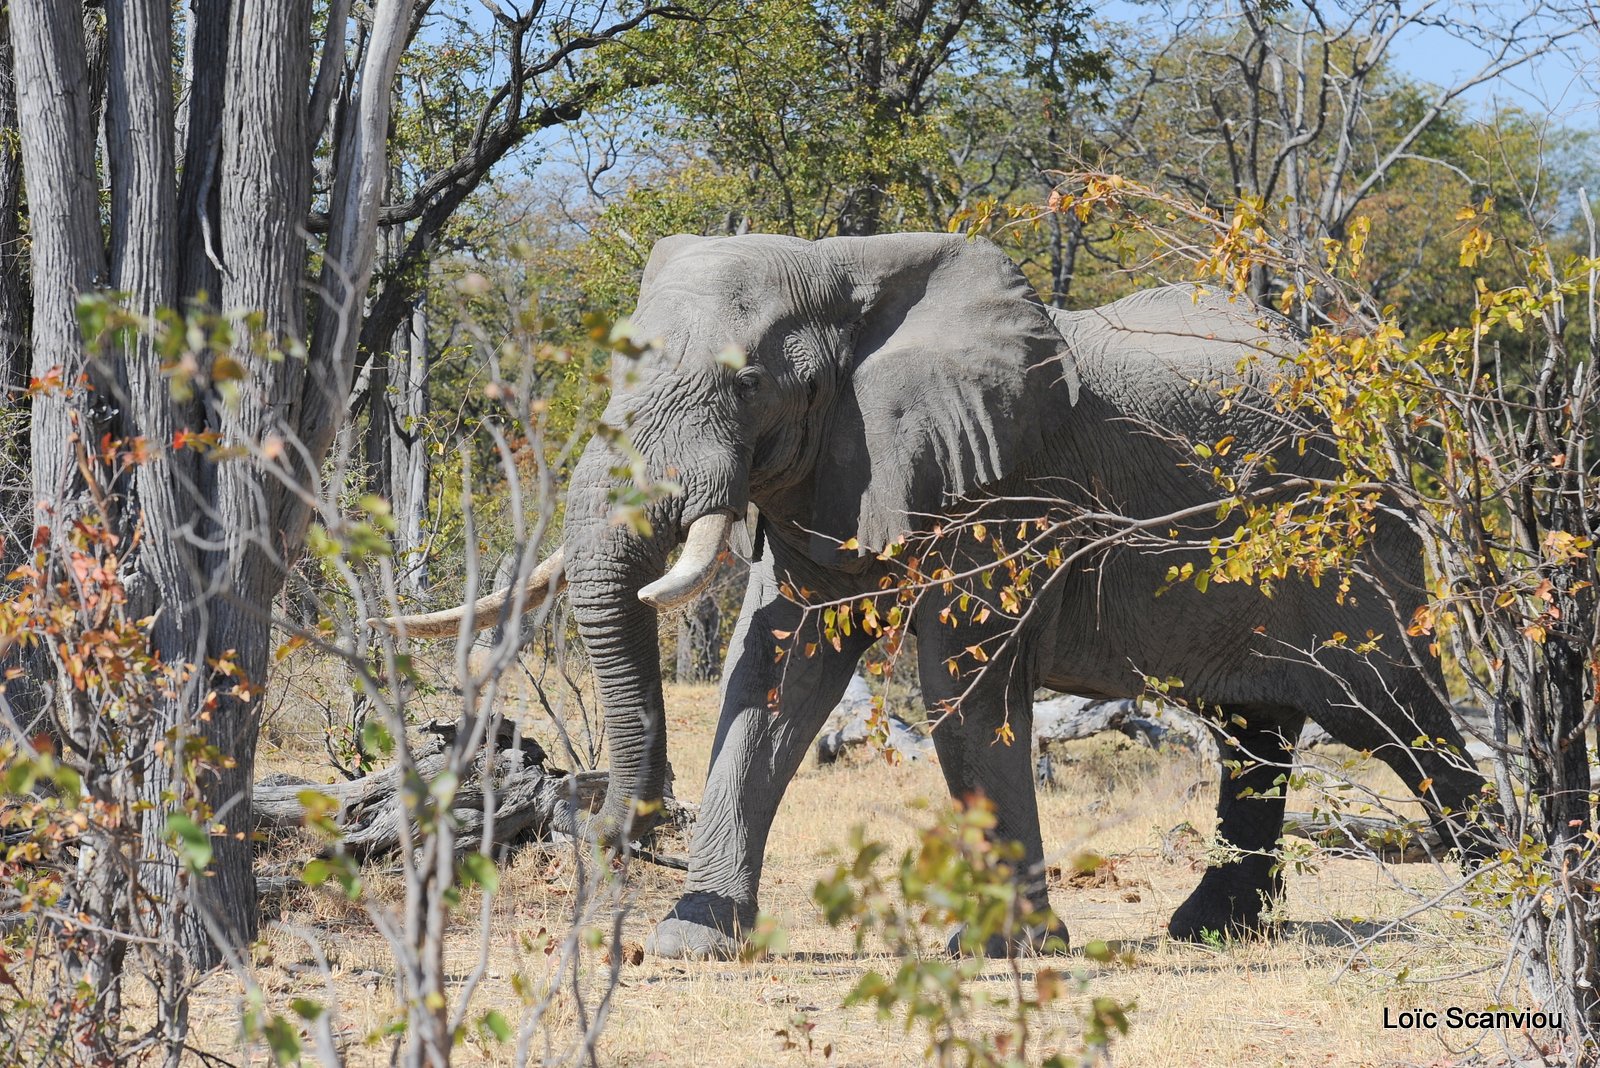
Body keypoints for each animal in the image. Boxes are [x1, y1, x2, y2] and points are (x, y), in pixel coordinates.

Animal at [380, 231, 1478, 959]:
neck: (846, 268)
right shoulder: (836, 473)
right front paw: (691, 943)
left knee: (1388, 708)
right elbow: (771, 673)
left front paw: (1006, 950)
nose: (578, 799)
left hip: (1350, 536)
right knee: (1253, 727)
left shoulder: (1001, 477)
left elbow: (962, 683)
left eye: (746, 384)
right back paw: (1208, 932)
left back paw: (1495, 887)